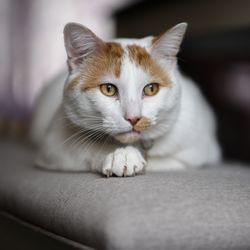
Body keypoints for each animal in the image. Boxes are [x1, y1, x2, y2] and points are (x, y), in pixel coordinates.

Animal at [30, 22, 221, 177]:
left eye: (151, 89)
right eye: (108, 89)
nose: (134, 118)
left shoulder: (202, 149)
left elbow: (167, 162)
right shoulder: (53, 146)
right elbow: (84, 148)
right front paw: (122, 155)